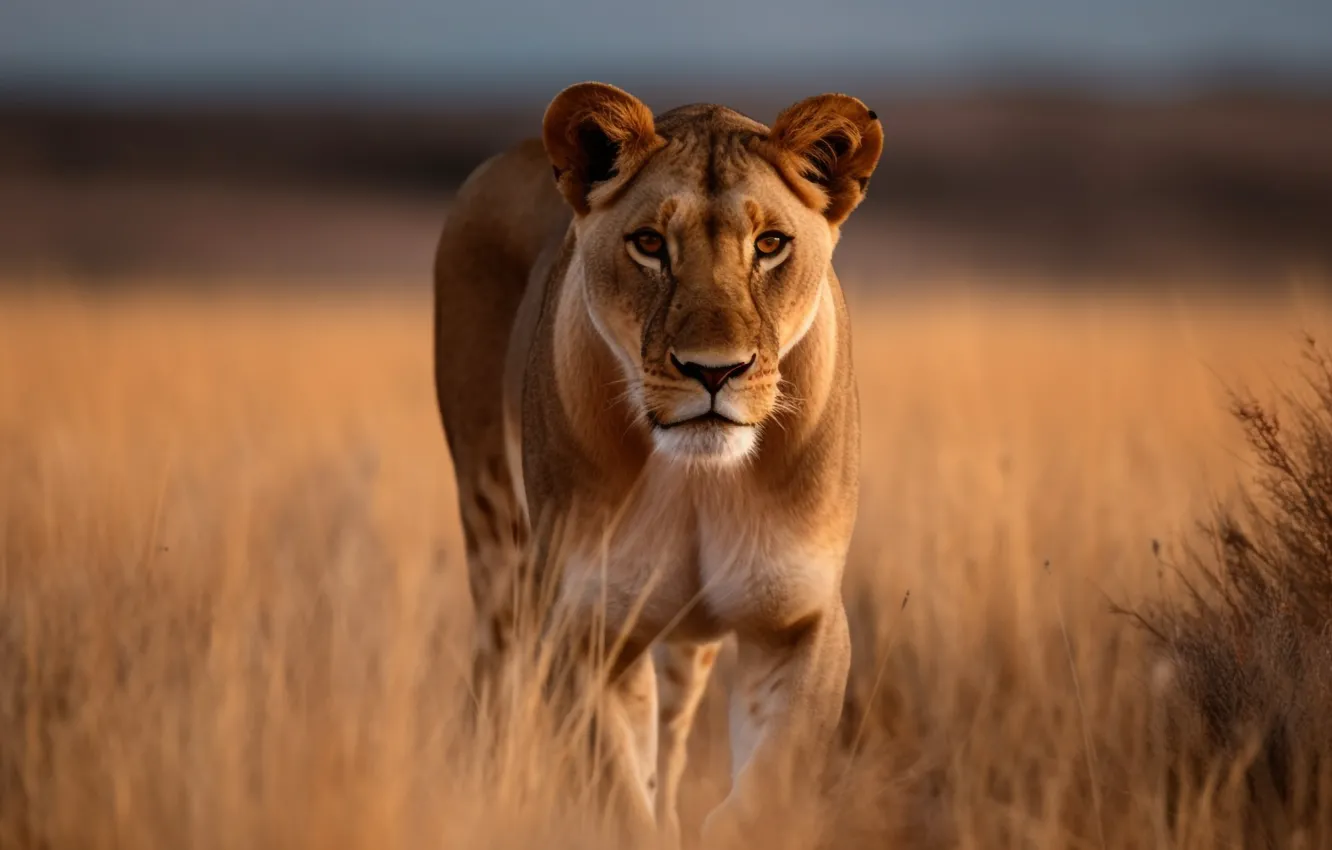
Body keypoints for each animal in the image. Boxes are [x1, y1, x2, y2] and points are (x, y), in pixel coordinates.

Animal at [433, 82, 881, 845]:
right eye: (649, 244)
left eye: (770, 245)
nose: (715, 371)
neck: (697, 479)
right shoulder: (586, 624)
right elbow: (619, 795)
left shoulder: (799, 618)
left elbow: (766, 786)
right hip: (493, 533)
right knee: (496, 686)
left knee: (670, 740)